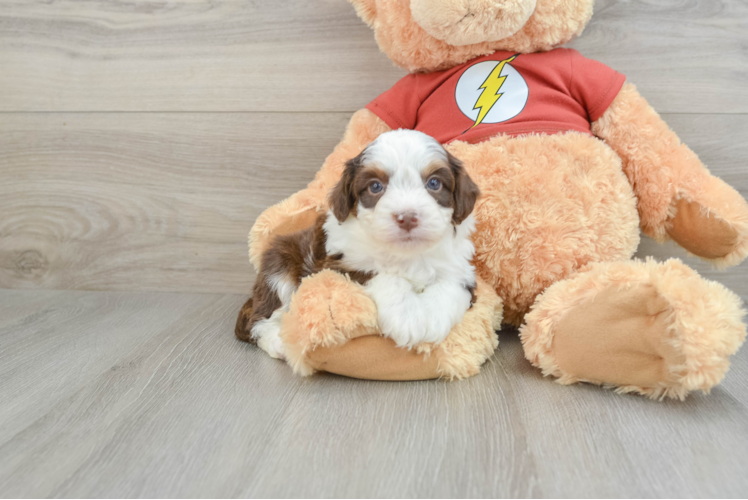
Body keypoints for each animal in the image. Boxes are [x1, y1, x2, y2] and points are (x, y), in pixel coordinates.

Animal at [234, 130, 480, 360]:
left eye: (434, 183)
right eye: (375, 187)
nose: (407, 217)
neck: (406, 253)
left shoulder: (460, 269)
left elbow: (450, 287)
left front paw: (432, 320)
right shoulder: (338, 264)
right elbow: (384, 276)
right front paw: (408, 317)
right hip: (279, 262)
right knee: (260, 317)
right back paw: (278, 341)